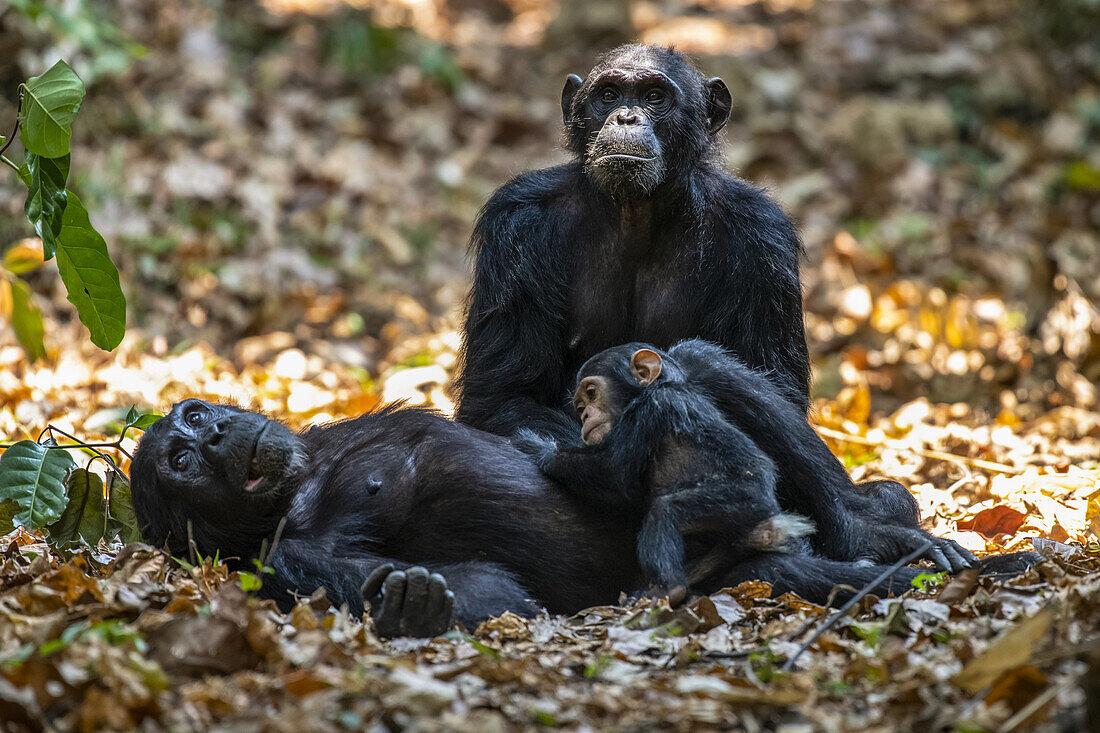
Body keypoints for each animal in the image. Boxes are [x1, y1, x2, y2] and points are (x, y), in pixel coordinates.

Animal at [517, 343, 818, 594]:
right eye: (579, 407)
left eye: (591, 394)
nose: (585, 415)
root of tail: (770, 527)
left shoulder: (651, 408)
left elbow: (613, 470)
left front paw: (539, 448)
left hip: (741, 500)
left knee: (665, 513)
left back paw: (668, 589)